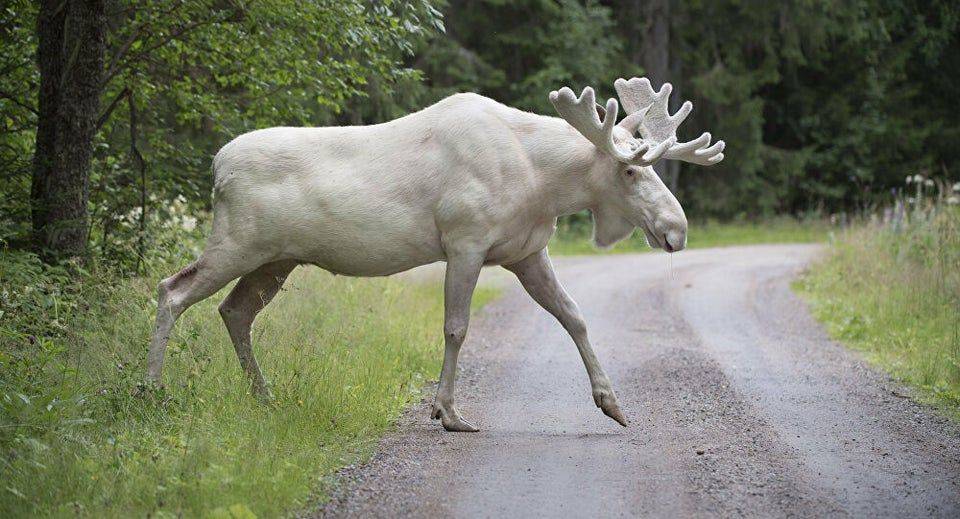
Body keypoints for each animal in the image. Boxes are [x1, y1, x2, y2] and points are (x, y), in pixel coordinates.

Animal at [146, 77, 724, 432]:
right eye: (629, 170)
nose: (677, 230)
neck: (542, 183)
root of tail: (216, 166)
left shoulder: (526, 251)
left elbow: (575, 316)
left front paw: (612, 403)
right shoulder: (465, 241)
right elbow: (456, 327)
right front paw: (448, 412)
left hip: (276, 259)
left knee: (234, 310)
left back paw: (263, 397)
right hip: (237, 242)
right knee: (172, 290)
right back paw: (150, 390)